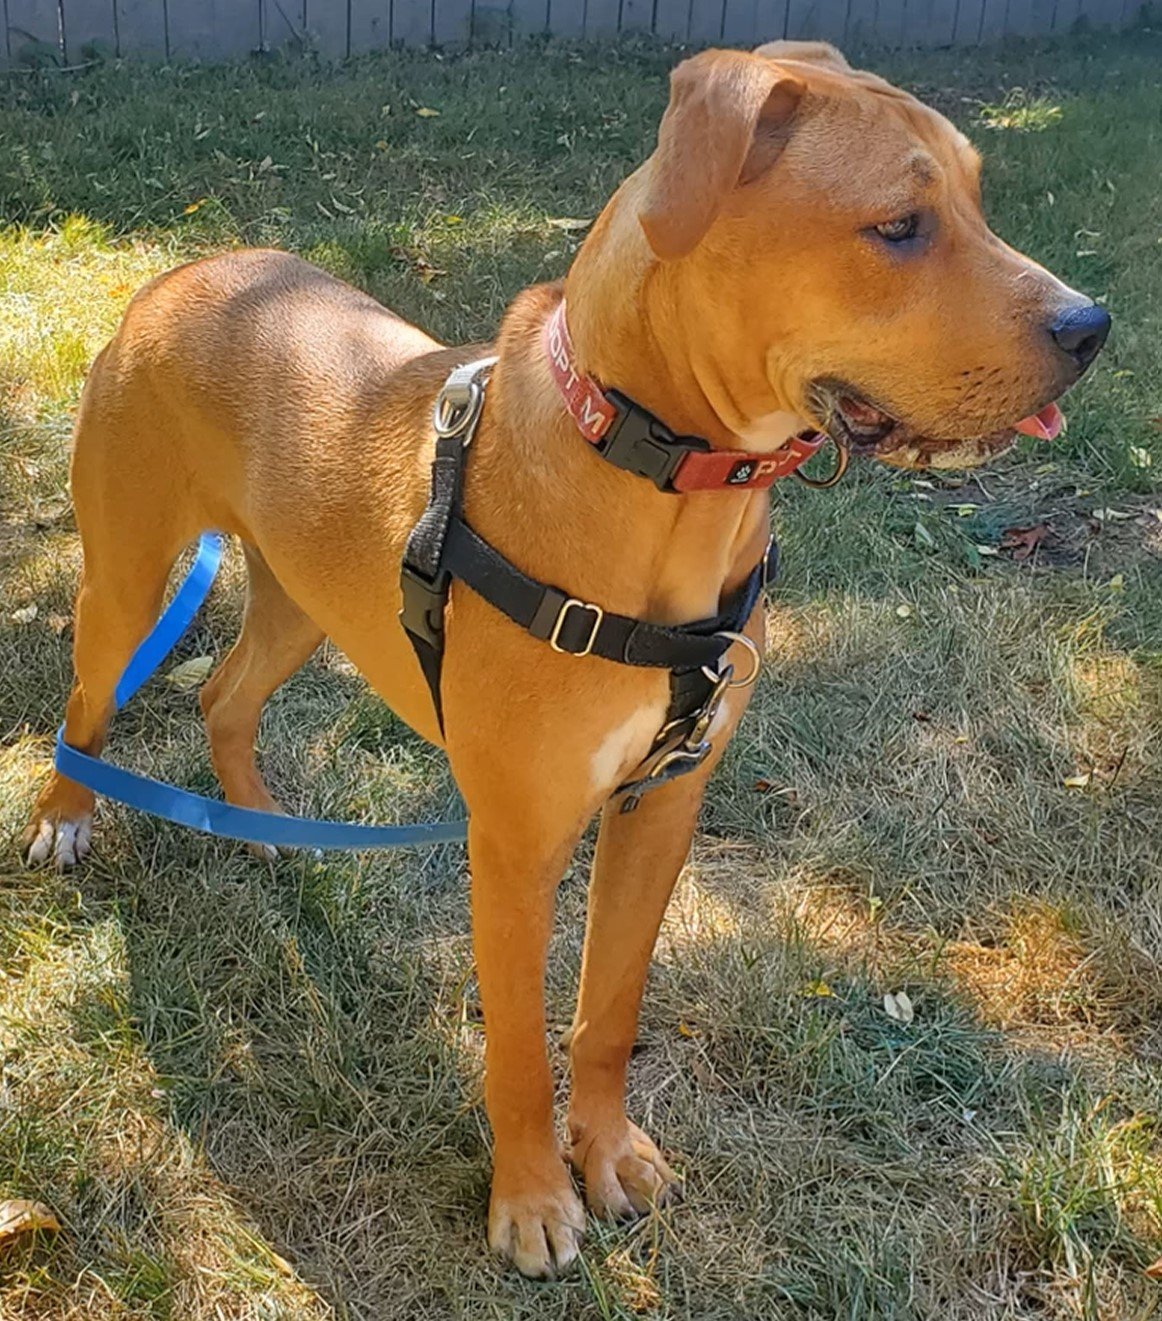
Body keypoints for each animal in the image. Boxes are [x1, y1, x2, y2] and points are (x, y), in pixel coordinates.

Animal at [20, 41, 1109, 1278]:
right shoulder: (517, 843)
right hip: (125, 575)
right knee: (87, 700)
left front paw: (610, 1151)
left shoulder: (661, 807)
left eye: (976, 199)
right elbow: (514, 1047)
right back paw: (67, 816)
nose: (1092, 326)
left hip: (305, 595)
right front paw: (534, 1197)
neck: (659, 474)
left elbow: (606, 1011)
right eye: (897, 225)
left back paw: (264, 833)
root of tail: (179, 274)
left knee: (222, 696)